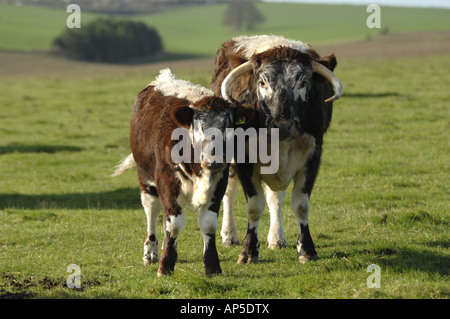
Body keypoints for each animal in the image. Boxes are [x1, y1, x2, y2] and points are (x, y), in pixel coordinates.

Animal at [112, 68, 253, 278]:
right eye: (199, 125)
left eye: (228, 125)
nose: (213, 159)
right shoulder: (167, 182)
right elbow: (174, 224)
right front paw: (165, 265)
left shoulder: (219, 182)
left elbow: (208, 224)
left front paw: (212, 266)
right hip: (145, 179)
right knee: (152, 211)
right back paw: (151, 252)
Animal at [209, 34, 342, 264]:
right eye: (262, 82)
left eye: (303, 82)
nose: (283, 125)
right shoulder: (244, 160)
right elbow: (254, 206)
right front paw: (248, 251)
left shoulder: (312, 157)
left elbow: (299, 205)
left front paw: (307, 249)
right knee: (229, 193)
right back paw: (229, 235)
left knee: (275, 199)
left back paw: (276, 238)